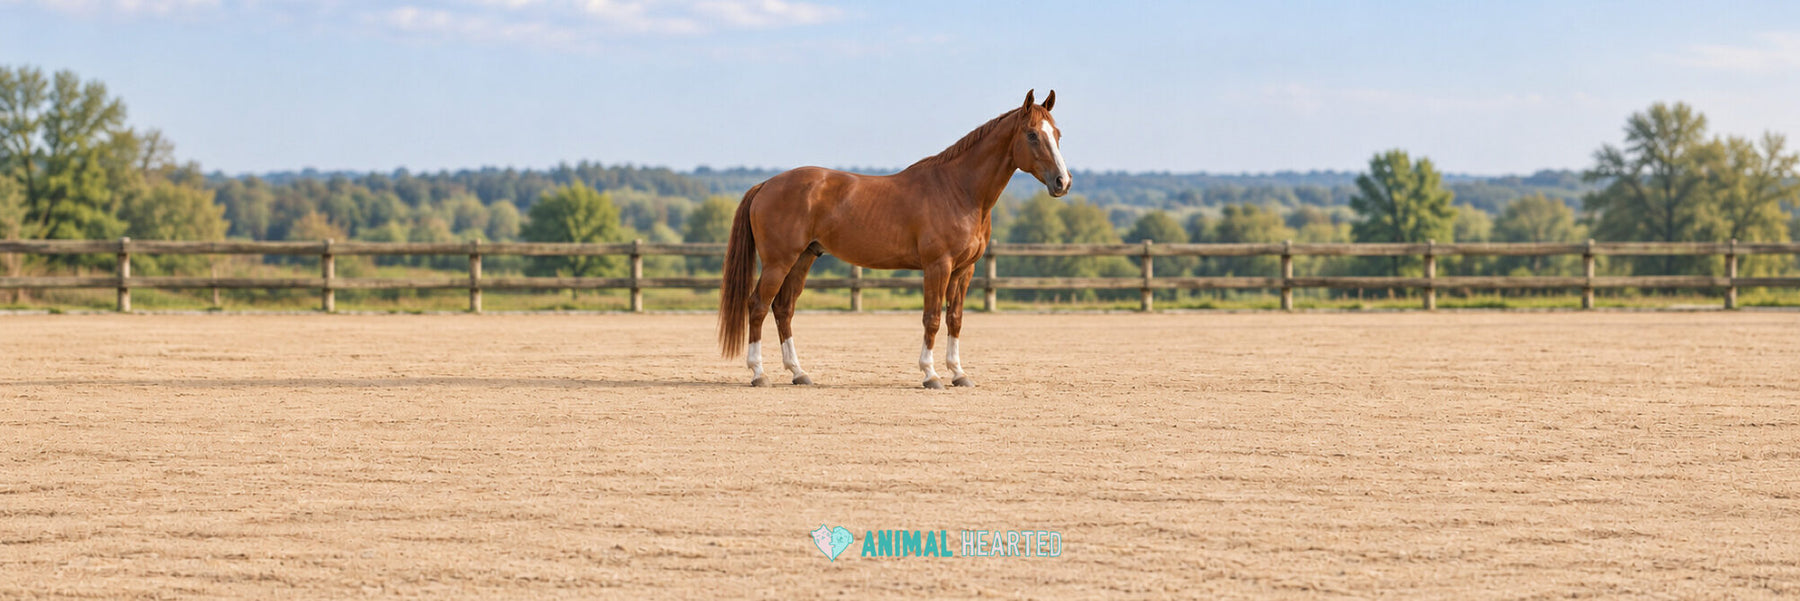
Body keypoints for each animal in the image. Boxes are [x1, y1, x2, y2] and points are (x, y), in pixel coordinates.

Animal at [717, 90, 1070, 389]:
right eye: (1032, 134)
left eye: (1057, 134)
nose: (1062, 182)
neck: (959, 190)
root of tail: (766, 184)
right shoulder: (938, 266)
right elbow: (932, 318)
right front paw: (930, 375)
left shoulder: (964, 270)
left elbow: (955, 318)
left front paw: (959, 374)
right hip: (778, 261)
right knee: (758, 305)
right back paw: (759, 373)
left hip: (803, 257)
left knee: (783, 308)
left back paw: (799, 373)